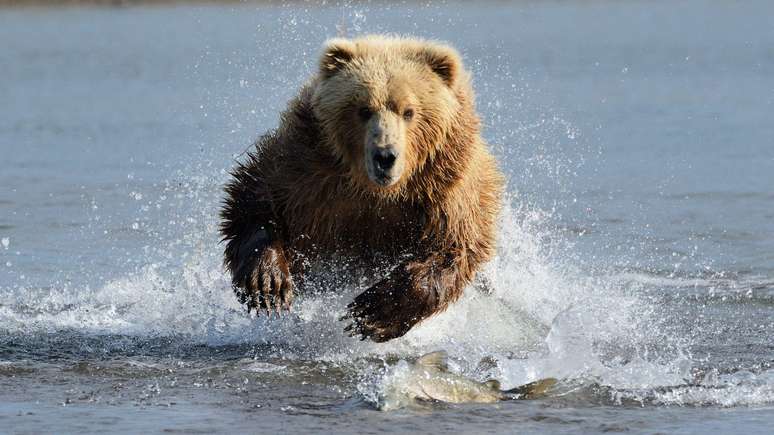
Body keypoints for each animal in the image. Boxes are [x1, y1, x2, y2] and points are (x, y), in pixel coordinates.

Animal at [221, 35, 506, 342]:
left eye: (409, 111)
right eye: (363, 109)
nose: (385, 156)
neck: (376, 190)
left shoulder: (445, 188)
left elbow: (453, 248)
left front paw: (372, 313)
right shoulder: (307, 167)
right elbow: (255, 197)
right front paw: (268, 283)